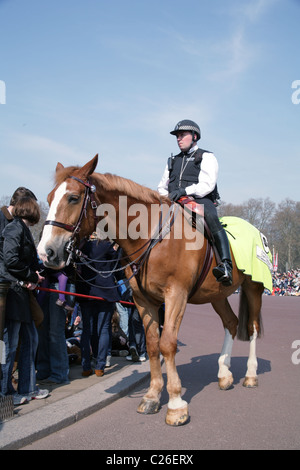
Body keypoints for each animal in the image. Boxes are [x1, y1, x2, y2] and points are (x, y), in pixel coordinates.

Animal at [37, 155, 264, 426]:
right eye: (49, 198)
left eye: (73, 197)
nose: (46, 252)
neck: (152, 237)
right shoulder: (144, 300)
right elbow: (154, 344)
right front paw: (153, 396)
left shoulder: (176, 295)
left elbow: (168, 344)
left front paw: (176, 404)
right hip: (217, 295)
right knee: (231, 323)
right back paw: (224, 374)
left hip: (254, 288)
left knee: (252, 328)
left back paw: (250, 375)